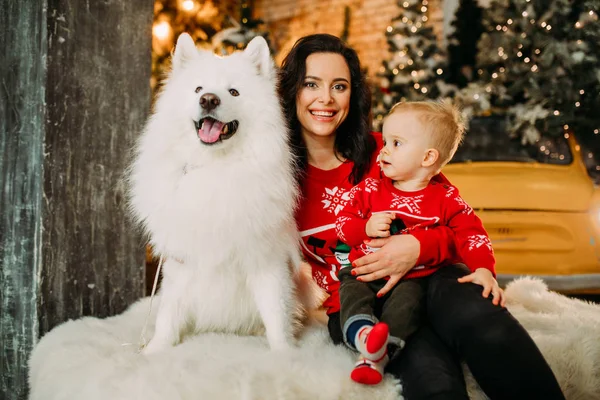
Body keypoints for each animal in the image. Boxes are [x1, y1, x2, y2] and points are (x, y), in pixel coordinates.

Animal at [127, 33, 314, 354]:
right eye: (198, 89)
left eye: (234, 92)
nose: (209, 100)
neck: (215, 165)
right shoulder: (181, 259)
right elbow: (168, 313)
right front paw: (155, 350)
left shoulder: (266, 259)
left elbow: (276, 312)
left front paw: (284, 354)